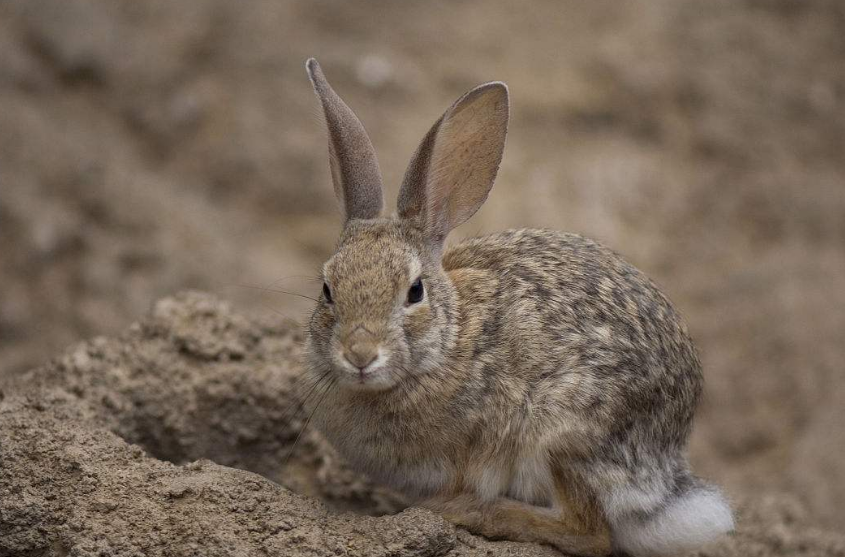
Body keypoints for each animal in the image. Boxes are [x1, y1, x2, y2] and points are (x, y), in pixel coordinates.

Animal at [302, 59, 732, 556]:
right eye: (327, 289)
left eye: (414, 291)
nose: (360, 355)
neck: (449, 341)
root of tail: (665, 488)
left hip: (561, 435)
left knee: (590, 533)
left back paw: (472, 511)